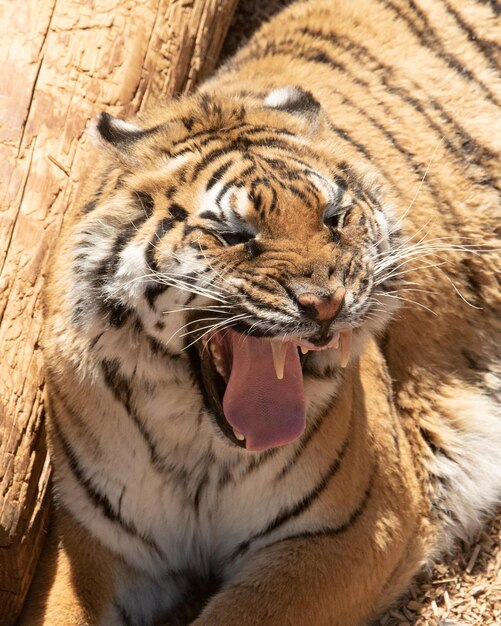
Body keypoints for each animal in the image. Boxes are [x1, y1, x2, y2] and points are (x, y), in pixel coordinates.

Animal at [20, 0, 500, 620]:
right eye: (235, 235)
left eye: (334, 218)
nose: (327, 303)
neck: (199, 450)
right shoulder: (92, 537)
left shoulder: (358, 528)